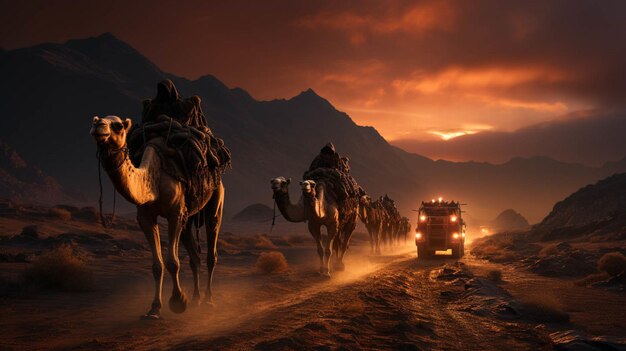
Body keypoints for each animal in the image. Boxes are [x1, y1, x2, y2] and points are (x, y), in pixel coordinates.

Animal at [90, 115, 222, 320]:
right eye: (96, 120)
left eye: (118, 126)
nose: (98, 127)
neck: (154, 179)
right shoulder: (146, 217)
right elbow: (157, 265)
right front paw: (154, 309)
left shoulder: (175, 213)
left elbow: (172, 262)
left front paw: (178, 302)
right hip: (187, 217)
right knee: (194, 256)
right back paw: (196, 299)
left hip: (216, 198)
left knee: (211, 249)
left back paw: (208, 300)